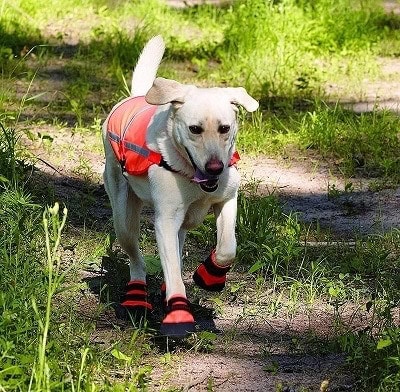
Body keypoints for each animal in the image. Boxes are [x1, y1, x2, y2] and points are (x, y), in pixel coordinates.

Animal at [102, 36, 260, 336]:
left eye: (224, 128)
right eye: (194, 129)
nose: (215, 168)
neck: (190, 176)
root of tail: (135, 96)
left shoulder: (227, 200)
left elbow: (227, 248)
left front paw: (210, 275)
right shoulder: (165, 220)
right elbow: (174, 272)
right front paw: (178, 314)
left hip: (182, 224)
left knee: (177, 246)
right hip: (123, 216)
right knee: (136, 257)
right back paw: (137, 297)